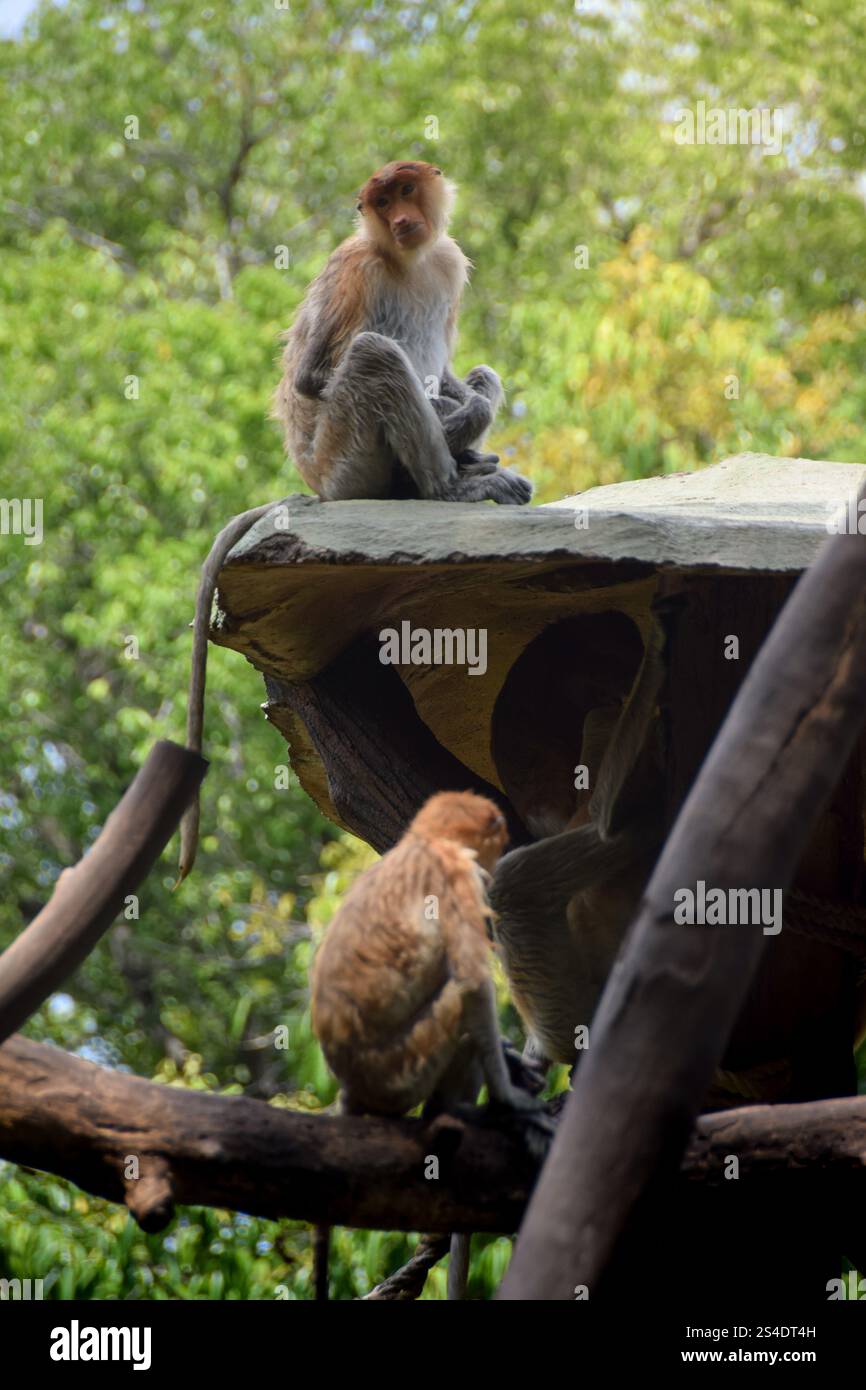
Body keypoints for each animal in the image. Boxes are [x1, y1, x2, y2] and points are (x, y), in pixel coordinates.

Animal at [272, 160, 533, 505]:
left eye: (406, 190)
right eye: (383, 203)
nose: (401, 220)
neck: (409, 259)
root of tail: (316, 484)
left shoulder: (449, 259)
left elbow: (446, 374)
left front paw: (473, 412)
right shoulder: (356, 268)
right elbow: (309, 376)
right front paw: (458, 416)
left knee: (485, 373)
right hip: (341, 462)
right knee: (375, 352)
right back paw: (449, 488)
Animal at [310, 790, 548, 1299]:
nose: (501, 852)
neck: (425, 843)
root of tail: (350, 1083)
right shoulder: (460, 877)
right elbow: (473, 981)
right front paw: (512, 1100)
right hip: (406, 1067)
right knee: (458, 998)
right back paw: (457, 1112)